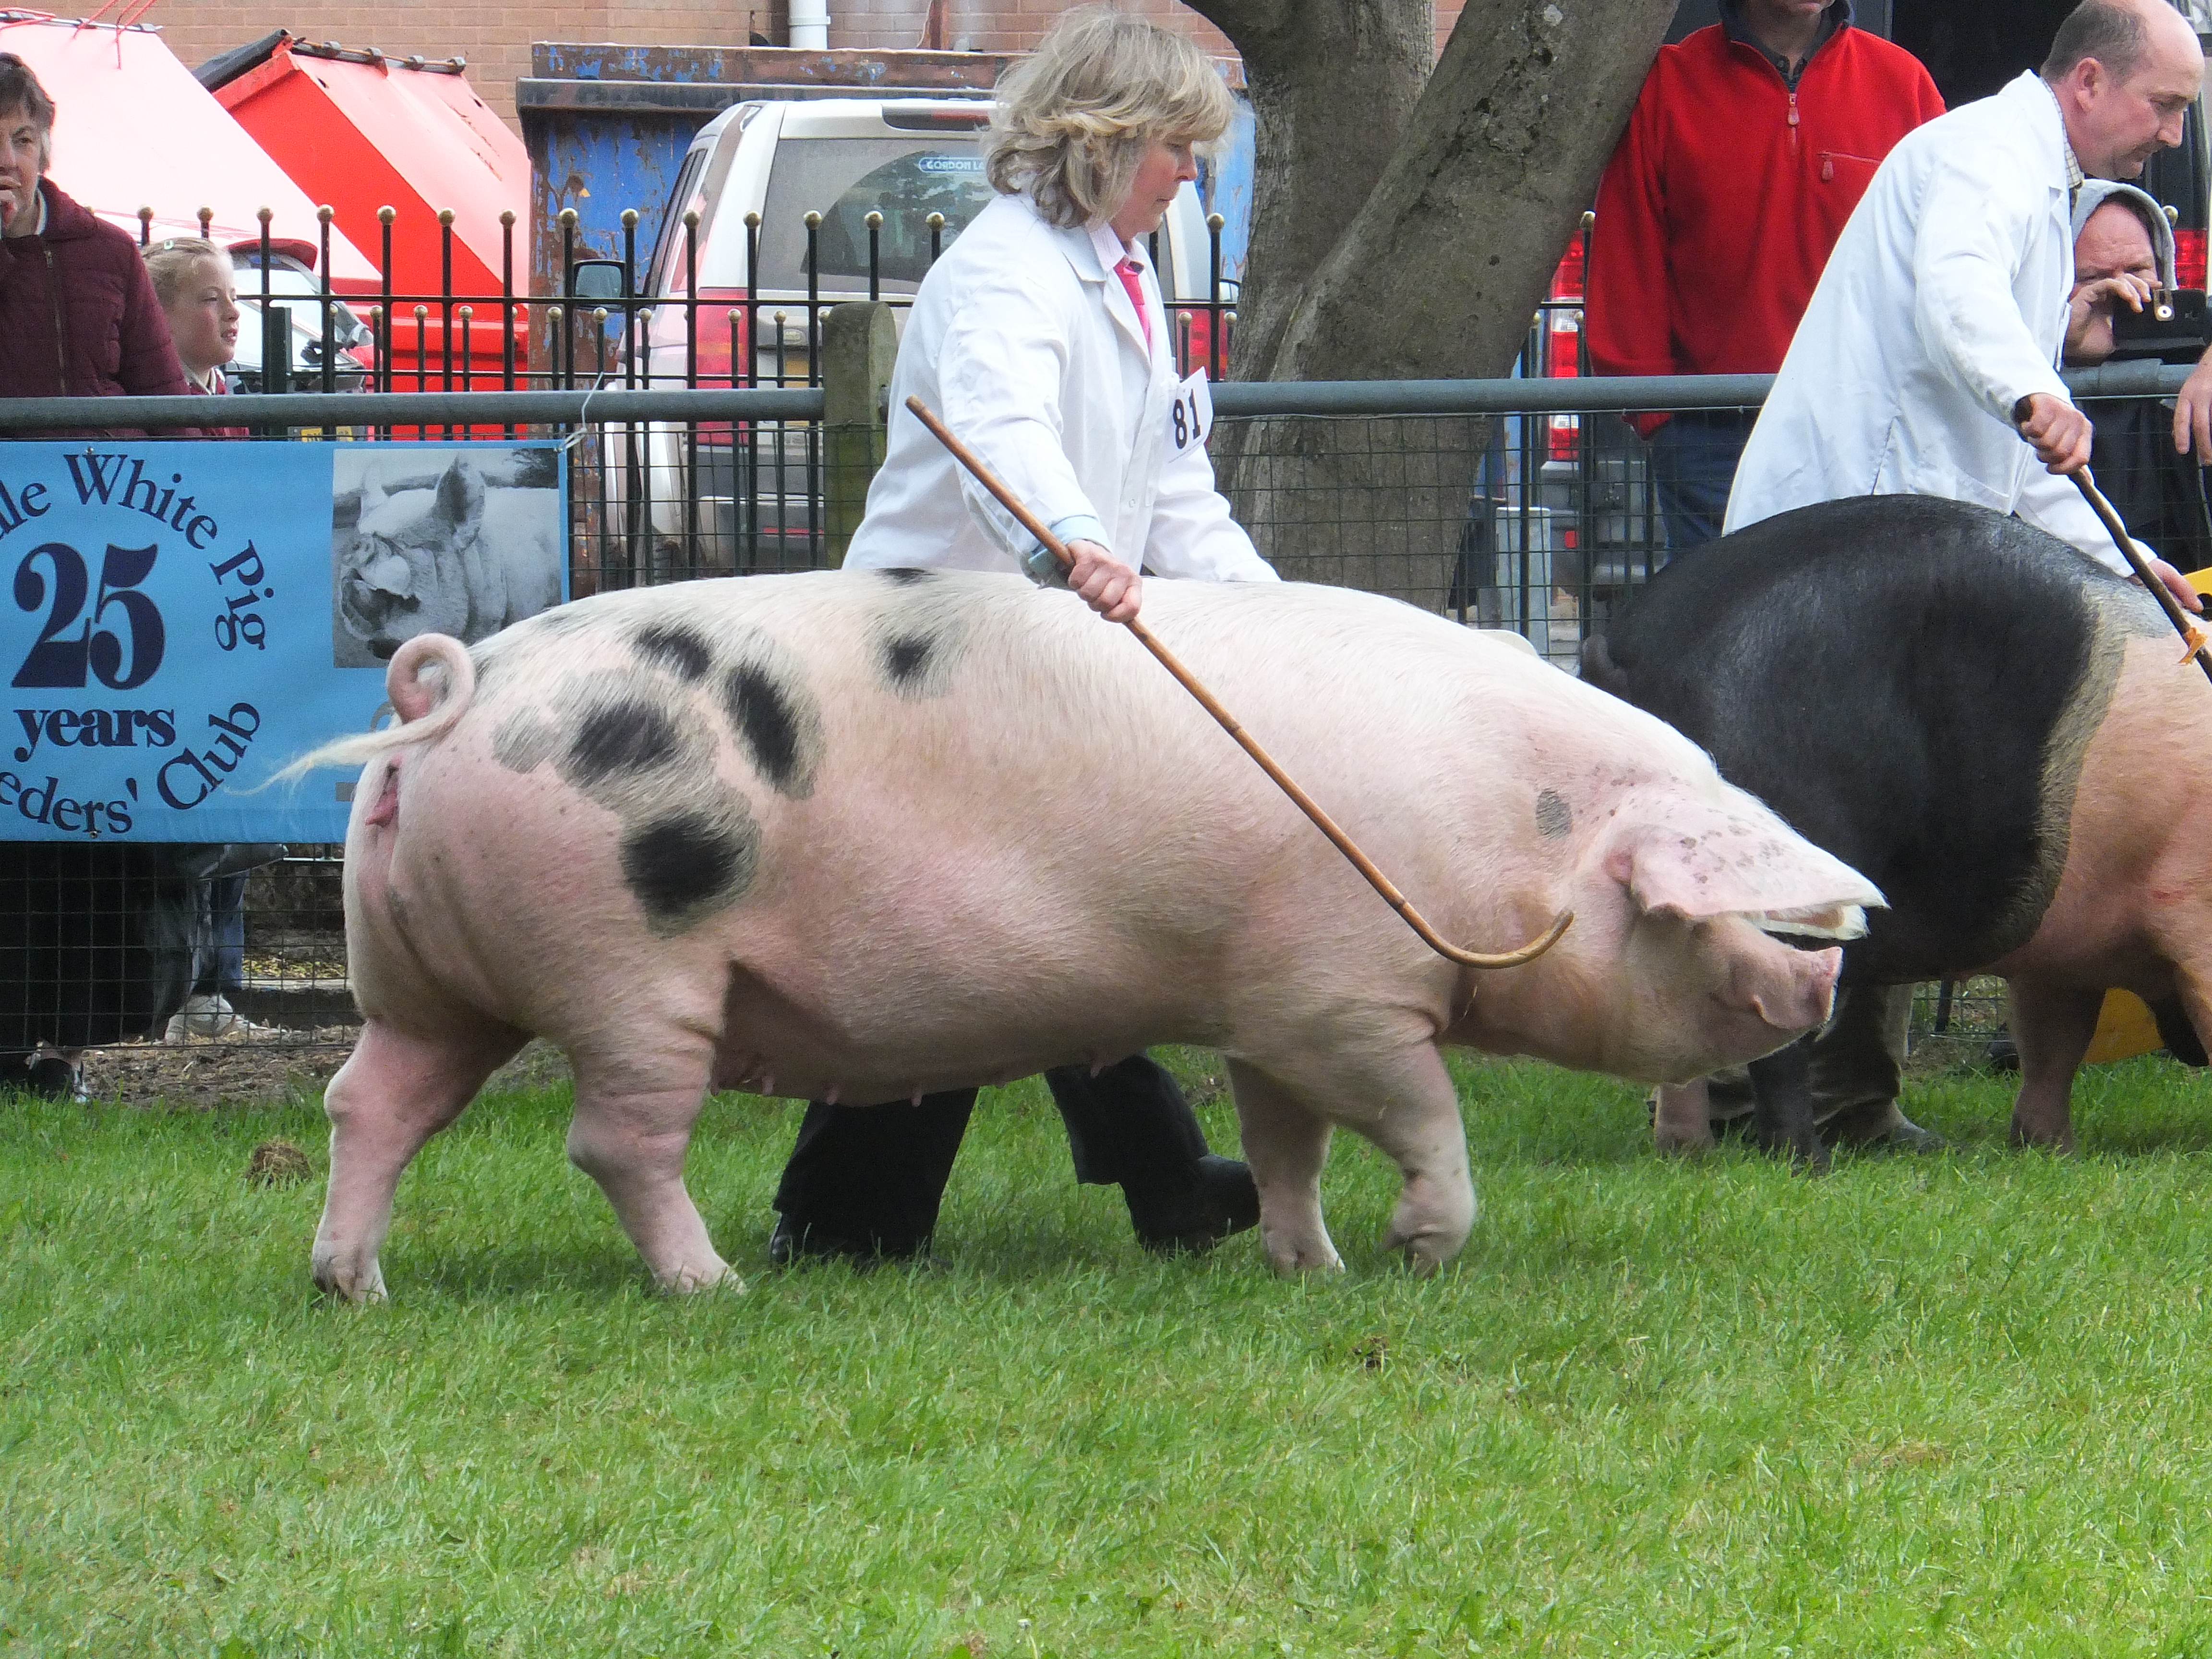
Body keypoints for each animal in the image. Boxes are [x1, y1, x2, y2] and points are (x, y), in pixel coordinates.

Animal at [292, 570, 1880, 1299]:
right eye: (1709, 907)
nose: (1831, 963)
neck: (1510, 829)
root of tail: (453, 691)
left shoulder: (1268, 999)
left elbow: (1287, 1143)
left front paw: (1308, 1267)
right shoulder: (1347, 993)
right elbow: (1424, 1118)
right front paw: (1417, 1255)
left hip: (434, 983)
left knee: (370, 1102)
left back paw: (353, 1287)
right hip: (628, 964)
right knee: (614, 1141)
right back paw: (713, 1285)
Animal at [1583, 493, 2212, 1161]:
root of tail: (1629, 645)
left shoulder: (2061, 942)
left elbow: (2054, 1042)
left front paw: (2052, 1153)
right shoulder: (2189, 910)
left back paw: (1688, 1153)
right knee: (1778, 1036)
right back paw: (1806, 1162)